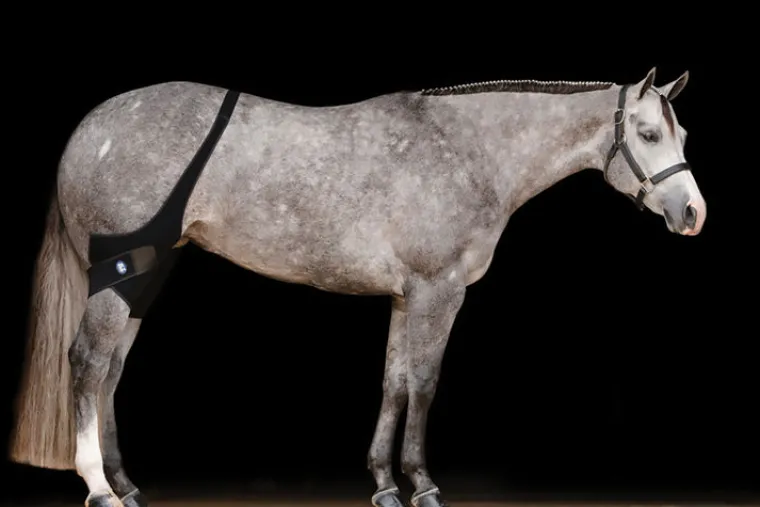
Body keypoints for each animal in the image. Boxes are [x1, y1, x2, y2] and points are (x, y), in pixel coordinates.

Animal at [8, 66, 704, 507]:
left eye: (683, 134)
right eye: (647, 134)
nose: (694, 214)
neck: (466, 151)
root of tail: (91, 126)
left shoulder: (403, 295)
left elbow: (393, 383)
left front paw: (385, 485)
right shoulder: (437, 291)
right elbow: (423, 383)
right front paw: (423, 485)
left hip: (147, 276)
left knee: (112, 370)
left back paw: (127, 485)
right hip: (120, 276)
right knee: (87, 362)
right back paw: (100, 489)